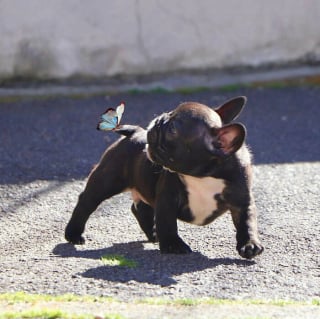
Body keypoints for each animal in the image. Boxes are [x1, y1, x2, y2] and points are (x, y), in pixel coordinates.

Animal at [64, 97, 262, 260]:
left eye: (173, 129)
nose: (159, 120)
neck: (204, 174)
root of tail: (134, 132)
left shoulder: (241, 200)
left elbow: (246, 222)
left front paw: (250, 244)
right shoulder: (168, 198)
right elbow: (167, 222)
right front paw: (173, 244)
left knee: (140, 208)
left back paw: (153, 234)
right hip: (107, 179)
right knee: (87, 201)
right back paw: (73, 234)